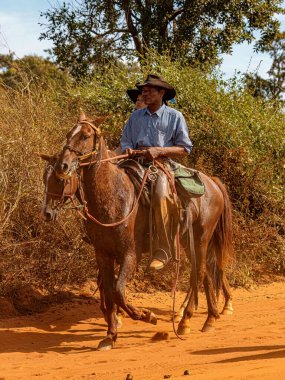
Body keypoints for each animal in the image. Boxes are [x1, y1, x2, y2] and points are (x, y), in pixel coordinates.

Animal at [51, 112, 233, 350]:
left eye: (85, 135)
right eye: (68, 134)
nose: (62, 166)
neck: (114, 197)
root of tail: (212, 182)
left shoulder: (130, 254)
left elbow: (119, 291)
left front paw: (146, 316)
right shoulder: (103, 254)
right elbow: (110, 291)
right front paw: (110, 335)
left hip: (202, 238)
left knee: (200, 272)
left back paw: (187, 320)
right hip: (188, 240)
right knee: (204, 274)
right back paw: (207, 318)